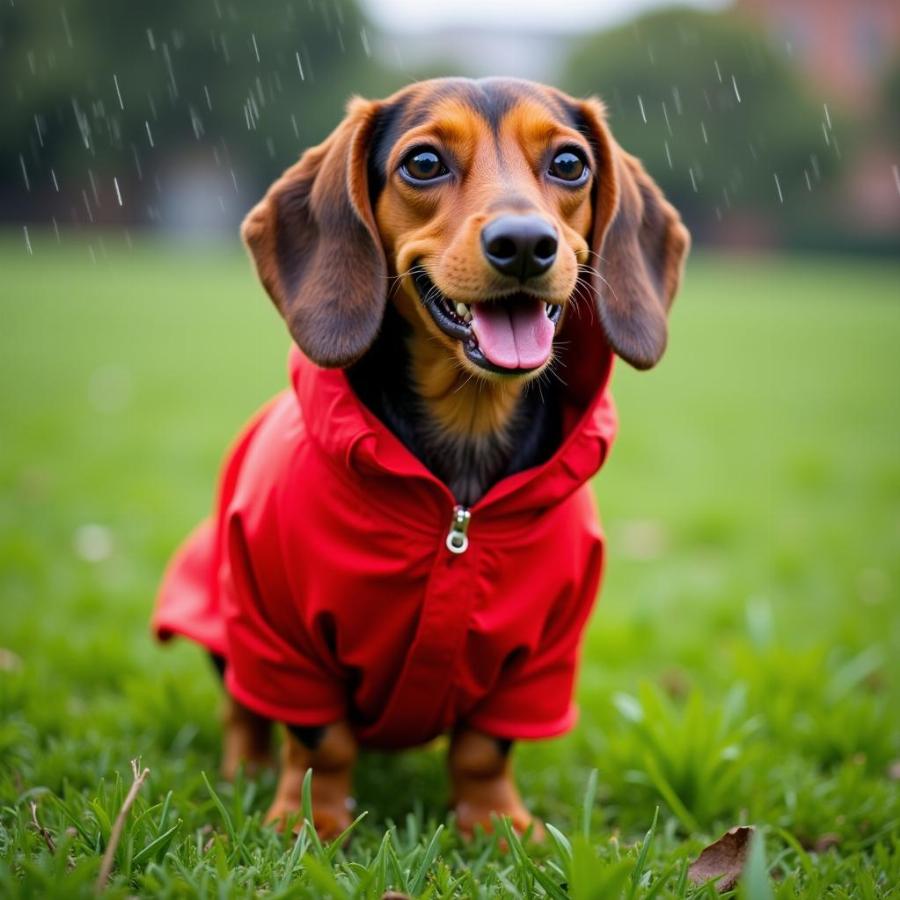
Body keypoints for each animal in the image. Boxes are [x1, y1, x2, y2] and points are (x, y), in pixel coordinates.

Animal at [218, 75, 688, 836]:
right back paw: (247, 772)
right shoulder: (280, 632)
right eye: (424, 163)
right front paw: (309, 823)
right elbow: (321, 741)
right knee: (242, 708)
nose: (524, 243)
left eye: (569, 164)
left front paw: (497, 826)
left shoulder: (540, 656)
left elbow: (482, 751)